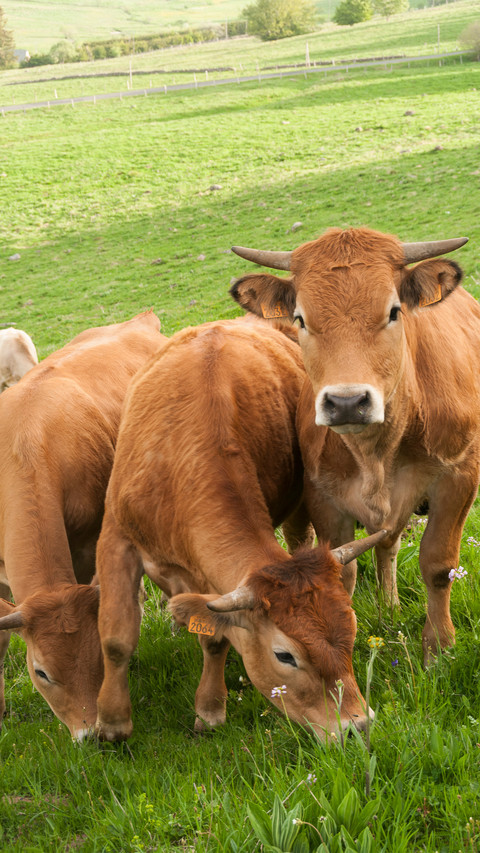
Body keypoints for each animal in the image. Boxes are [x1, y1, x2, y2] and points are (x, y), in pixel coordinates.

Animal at [92, 318, 386, 742]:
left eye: (353, 627)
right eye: (285, 655)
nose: (356, 725)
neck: (177, 464)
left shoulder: (210, 580)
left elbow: (215, 640)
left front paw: (210, 709)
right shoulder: (116, 537)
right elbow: (116, 639)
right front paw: (111, 723)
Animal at [229, 226, 478, 665]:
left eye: (394, 311)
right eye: (300, 319)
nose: (346, 402)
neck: (376, 453)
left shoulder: (459, 476)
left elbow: (438, 563)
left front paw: (438, 647)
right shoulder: (324, 497)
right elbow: (342, 570)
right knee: (387, 544)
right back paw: (389, 605)